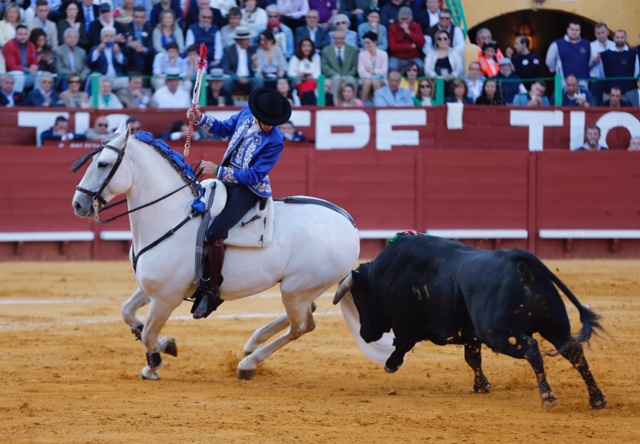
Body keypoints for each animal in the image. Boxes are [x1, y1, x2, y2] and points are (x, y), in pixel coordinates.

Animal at [71, 121, 360, 381]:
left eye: (103, 163)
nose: (78, 204)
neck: (173, 214)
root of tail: (350, 224)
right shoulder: (151, 288)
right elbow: (128, 313)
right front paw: (166, 346)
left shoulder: (166, 297)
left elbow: (148, 333)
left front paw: (153, 365)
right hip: (299, 289)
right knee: (305, 313)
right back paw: (252, 343)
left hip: (295, 289)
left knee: (302, 325)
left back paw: (248, 364)